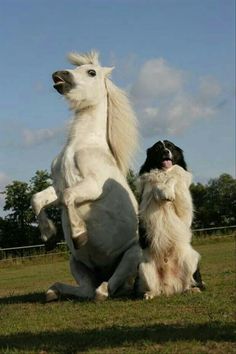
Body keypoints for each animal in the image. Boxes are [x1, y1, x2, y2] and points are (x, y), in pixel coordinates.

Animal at [32, 51, 141, 300]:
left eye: (91, 72)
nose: (58, 75)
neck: (80, 144)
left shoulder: (93, 185)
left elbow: (68, 197)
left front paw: (79, 234)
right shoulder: (58, 186)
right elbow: (38, 199)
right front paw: (48, 236)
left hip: (134, 254)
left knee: (102, 291)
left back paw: (104, 290)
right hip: (75, 262)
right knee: (86, 290)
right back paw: (53, 291)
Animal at [137, 141, 204, 298]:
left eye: (171, 146)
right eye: (157, 148)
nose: (166, 151)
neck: (164, 172)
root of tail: (170, 287)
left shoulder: (184, 209)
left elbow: (175, 175)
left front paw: (168, 191)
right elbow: (155, 180)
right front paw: (163, 190)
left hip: (191, 258)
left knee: (188, 282)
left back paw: (192, 289)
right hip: (144, 267)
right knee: (154, 287)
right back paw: (150, 294)